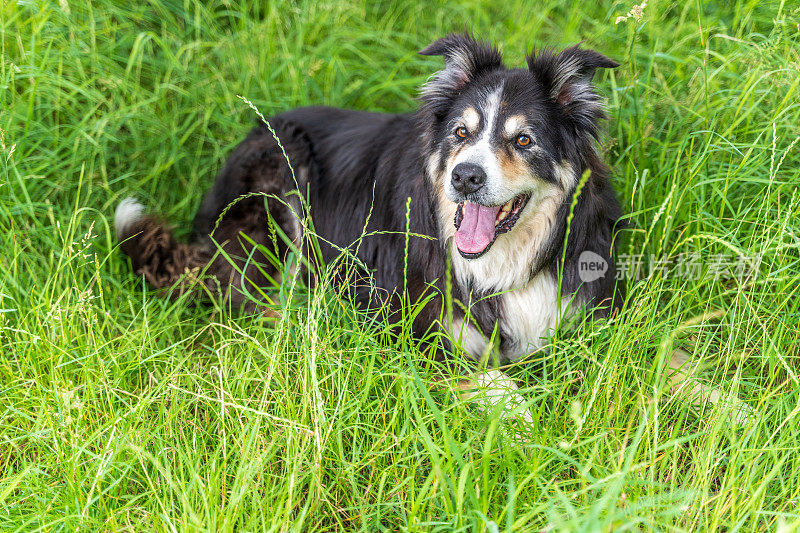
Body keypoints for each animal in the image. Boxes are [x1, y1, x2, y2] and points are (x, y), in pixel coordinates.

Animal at [114, 34, 624, 420]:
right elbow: (488, 376)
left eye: (523, 140)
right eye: (460, 133)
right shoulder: (402, 324)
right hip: (283, 170)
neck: (504, 261)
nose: (465, 176)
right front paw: (523, 422)